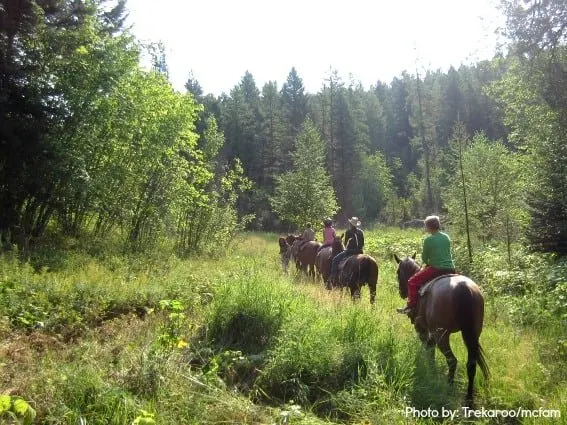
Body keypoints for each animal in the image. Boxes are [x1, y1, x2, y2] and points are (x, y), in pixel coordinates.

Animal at [394, 252, 488, 404]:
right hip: (473, 334)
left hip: (442, 335)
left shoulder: (422, 329)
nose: (402, 292)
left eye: (398, 271)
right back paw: (468, 397)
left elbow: (428, 349)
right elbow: (430, 349)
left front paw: (431, 371)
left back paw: (449, 386)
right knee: (471, 364)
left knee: (452, 360)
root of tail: (463, 288)